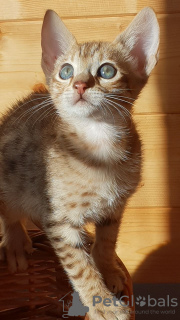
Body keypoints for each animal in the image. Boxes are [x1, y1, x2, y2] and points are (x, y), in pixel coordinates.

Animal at [0, 7, 159, 320]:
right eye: (66, 71)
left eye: (107, 71)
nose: (80, 84)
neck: (99, 147)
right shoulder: (60, 221)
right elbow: (80, 267)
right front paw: (103, 304)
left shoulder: (115, 207)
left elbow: (107, 242)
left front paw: (109, 270)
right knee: (8, 210)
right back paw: (15, 242)